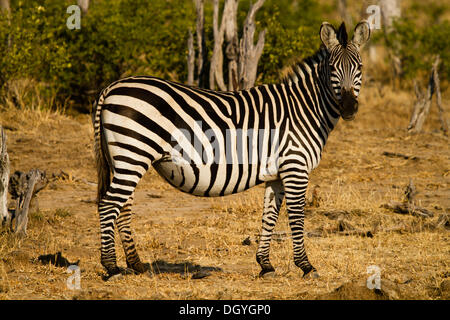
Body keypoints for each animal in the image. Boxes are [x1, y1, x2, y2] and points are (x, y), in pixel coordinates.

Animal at [92, 21, 370, 278]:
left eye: (359, 68)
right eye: (332, 69)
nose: (349, 108)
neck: (305, 108)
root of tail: (112, 87)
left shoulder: (277, 174)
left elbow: (269, 216)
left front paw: (265, 265)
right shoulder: (295, 167)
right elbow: (297, 216)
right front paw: (306, 266)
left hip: (125, 158)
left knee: (123, 206)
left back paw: (136, 264)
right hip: (133, 153)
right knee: (108, 205)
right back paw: (111, 267)